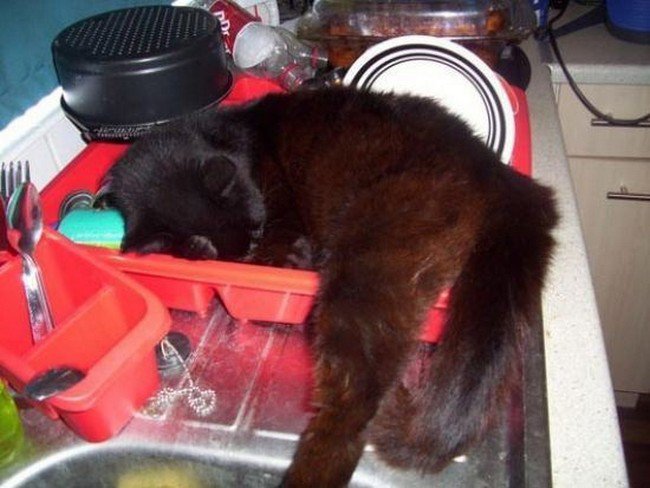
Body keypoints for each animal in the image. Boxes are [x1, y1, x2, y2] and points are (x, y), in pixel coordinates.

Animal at [102, 86, 556, 486]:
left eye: (256, 228)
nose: (248, 251)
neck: (236, 139)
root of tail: (495, 170)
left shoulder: (280, 212)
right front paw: (196, 248)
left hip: (369, 261)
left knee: (354, 399)